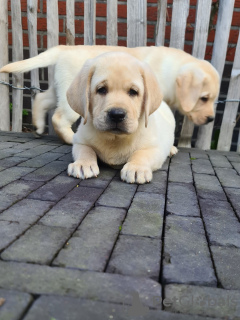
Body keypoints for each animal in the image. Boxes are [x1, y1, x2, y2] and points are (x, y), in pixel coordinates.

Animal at [0, 44, 219, 144]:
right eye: (204, 98)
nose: (211, 119)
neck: (170, 71)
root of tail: (64, 48)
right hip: (74, 98)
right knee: (59, 118)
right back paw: (71, 138)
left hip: (60, 89)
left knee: (41, 98)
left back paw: (38, 126)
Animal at [66, 51, 175, 184]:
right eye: (101, 89)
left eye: (133, 91)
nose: (117, 115)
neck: (115, 138)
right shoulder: (79, 141)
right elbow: (86, 150)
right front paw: (83, 164)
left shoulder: (154, 148)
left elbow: (141, 154)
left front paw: (136, 168)